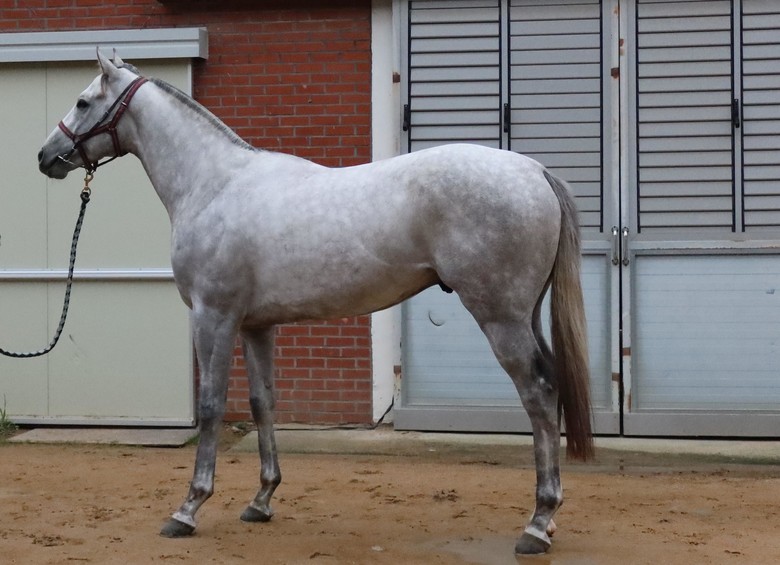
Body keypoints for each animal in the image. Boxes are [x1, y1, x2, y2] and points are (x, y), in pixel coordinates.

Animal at [37, 51, 593, 555]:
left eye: (83, 101)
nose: (46, 156)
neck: (214, 184)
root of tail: (533, 170)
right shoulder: (255, 325)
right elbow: (262, 402)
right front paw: (261, 500)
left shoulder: (213, 316)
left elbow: (212, 405)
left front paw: (189, 508)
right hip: (525, 315)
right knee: (551, 387)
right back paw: (547, 519)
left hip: (500, 319)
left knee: (539, 392)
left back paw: (537, 524)